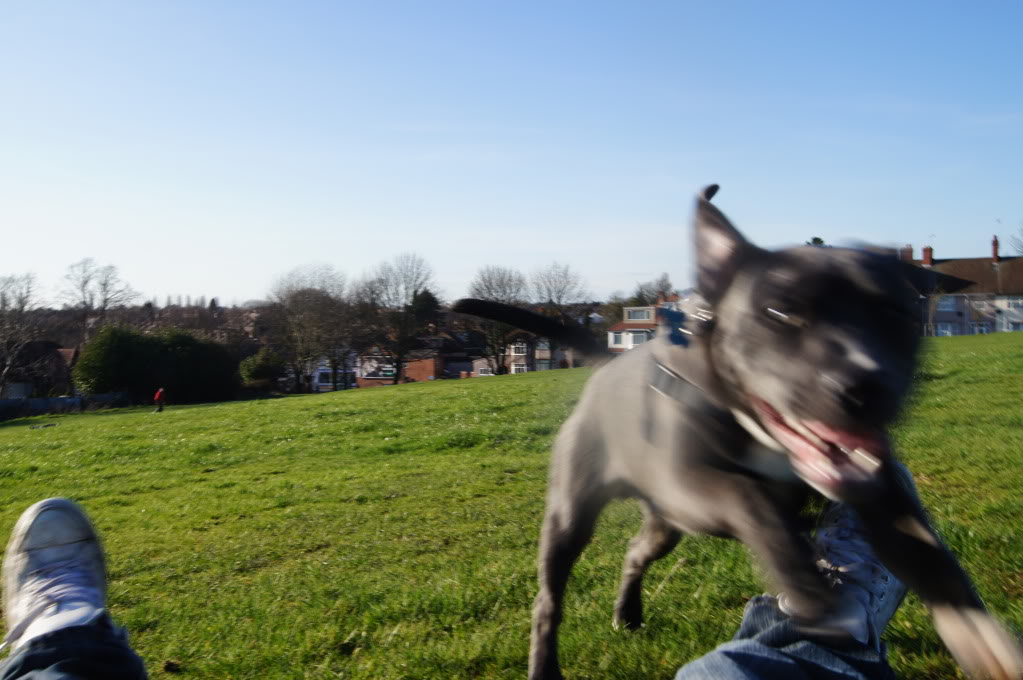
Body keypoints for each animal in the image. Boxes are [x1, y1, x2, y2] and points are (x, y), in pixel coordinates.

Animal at [456, 186, 1023, 678]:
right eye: (780, 311)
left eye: (896, 312)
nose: (865, 385)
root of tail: (606, 365)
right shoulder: (690, 484)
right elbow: (752, 500)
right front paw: (814, 595)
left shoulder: (882, 494)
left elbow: (939, 567)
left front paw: (988, 648)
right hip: (573, 515)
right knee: (547, 602)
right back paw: (545, 666)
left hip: (663, 525)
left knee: (636, 552)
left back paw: (628, 612)